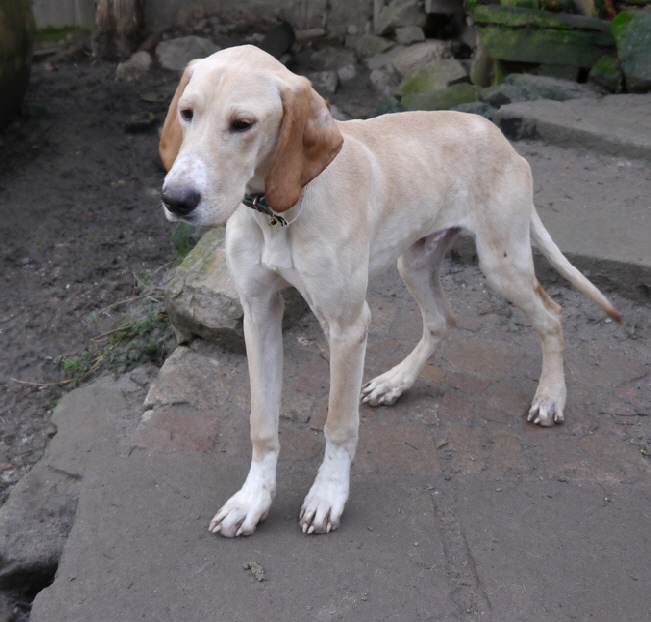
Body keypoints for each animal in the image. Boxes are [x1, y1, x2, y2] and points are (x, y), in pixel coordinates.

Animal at [159, 45, 620, 537]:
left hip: (502, 264)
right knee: (441, 319)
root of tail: (497, 134)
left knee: (551, 315)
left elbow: (338, 424)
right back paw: (396, 382)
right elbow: (261, 423)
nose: (176, 199)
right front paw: (253, 499)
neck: (280, 211)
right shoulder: (259, 312)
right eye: (187, 113)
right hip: (414, 262)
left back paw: (550, 396)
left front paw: (328, 496)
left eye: (242, 124)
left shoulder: (347, 327)